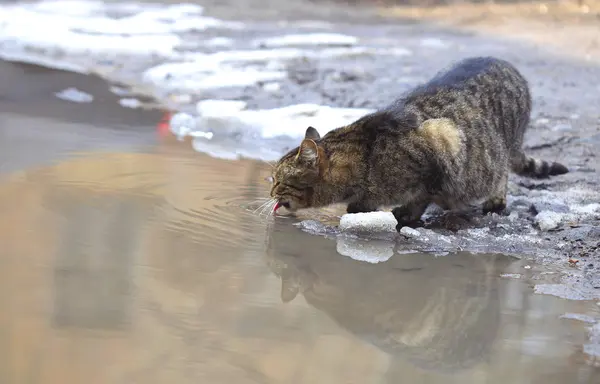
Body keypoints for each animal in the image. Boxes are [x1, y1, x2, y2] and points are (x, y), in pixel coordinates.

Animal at [270, 56, 568, 230]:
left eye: (278, 180)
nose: (270, 191)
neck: (363, 158)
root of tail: (506, 64)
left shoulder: (440, 148)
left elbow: (421, 196)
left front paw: (404, 215)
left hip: (493, 150)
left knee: (502, 170)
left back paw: (493, 200)